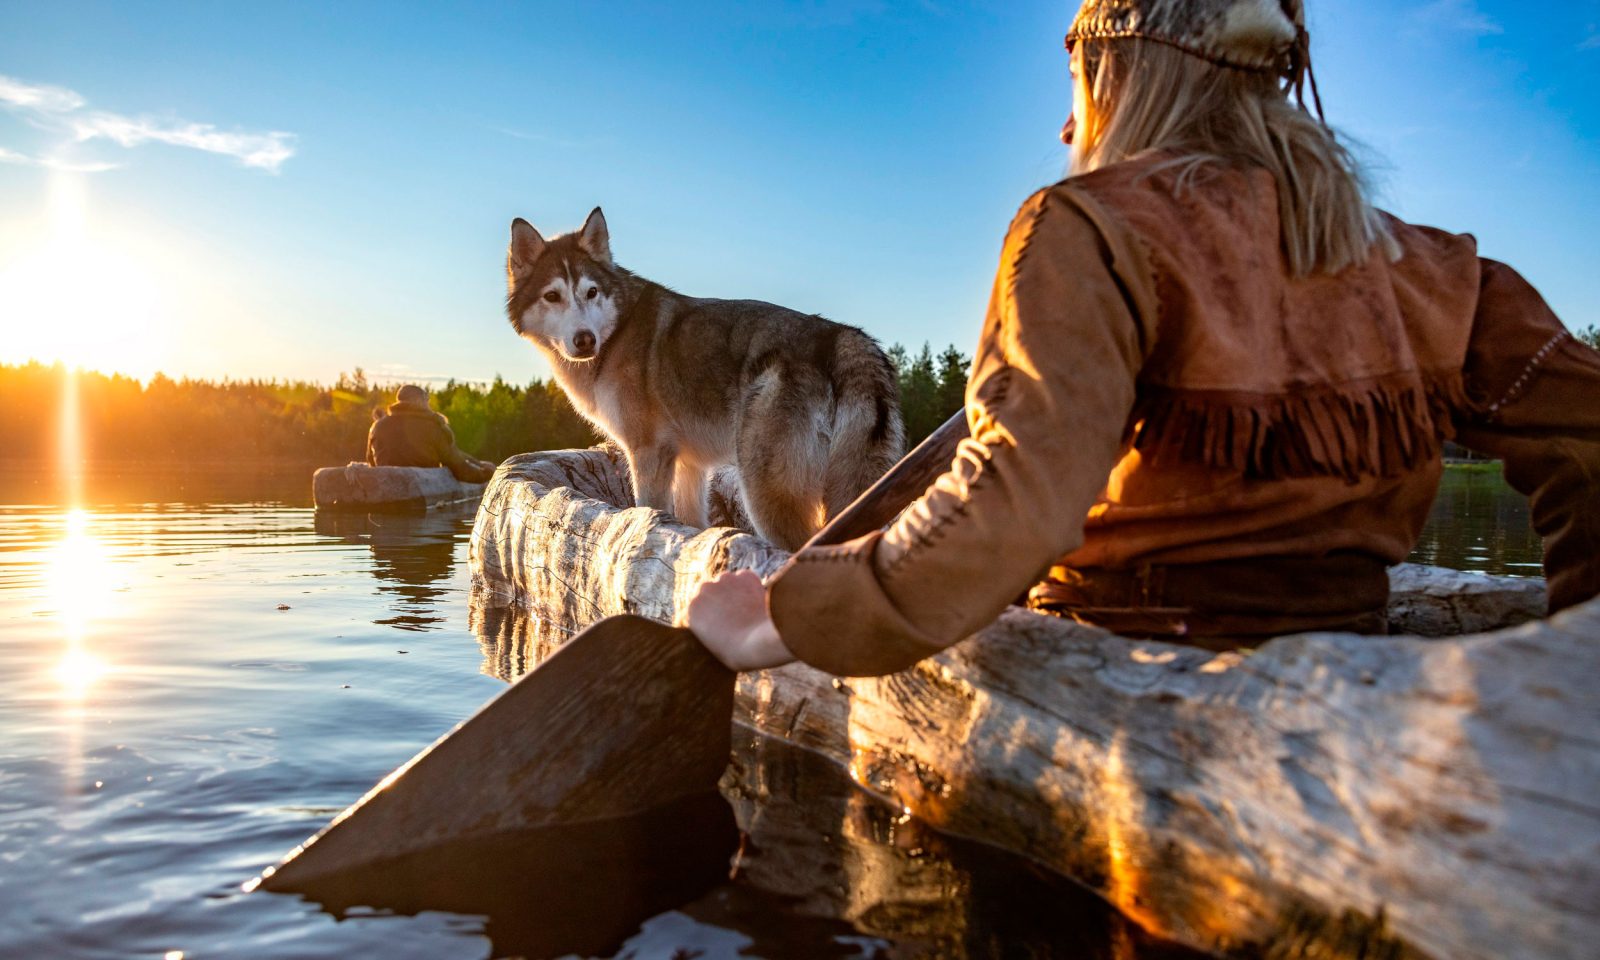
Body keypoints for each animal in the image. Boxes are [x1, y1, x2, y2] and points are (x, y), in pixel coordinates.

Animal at [505, 208, 908, 547]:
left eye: (591, 292)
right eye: (552, 296)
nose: (585, 339)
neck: (617, 333)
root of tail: (842, 337)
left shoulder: (648, 453)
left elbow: (647, 512)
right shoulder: (690, 464)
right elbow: (689, 529)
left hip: (763, 494)